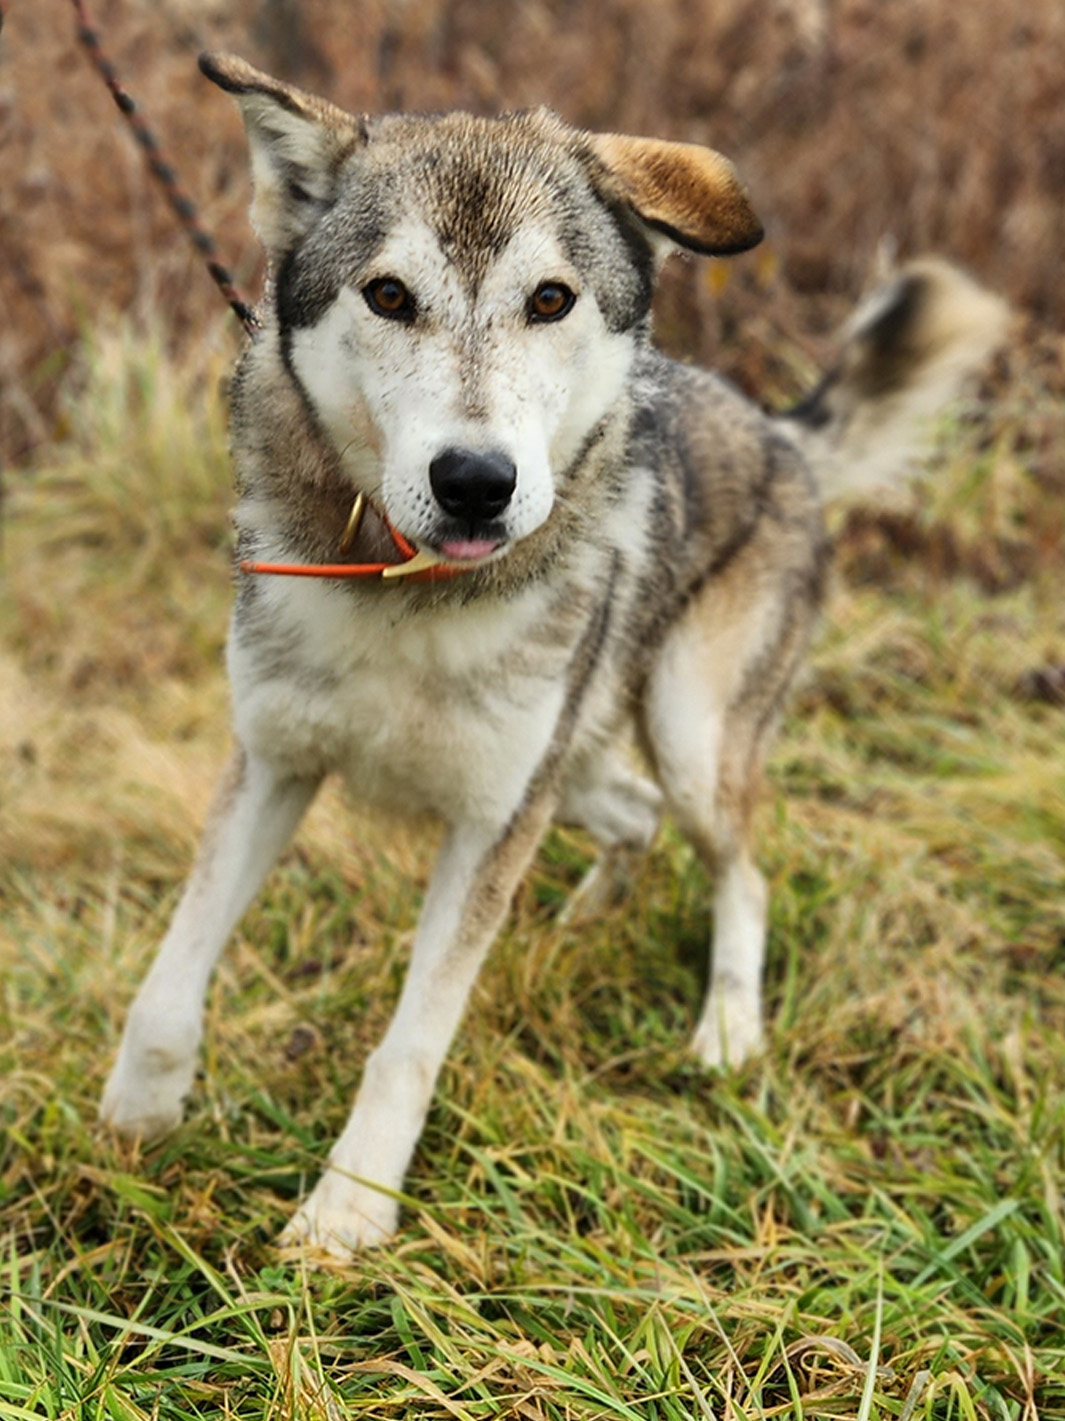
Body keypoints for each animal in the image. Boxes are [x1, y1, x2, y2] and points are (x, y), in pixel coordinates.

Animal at [99, 50, 1006, 1261]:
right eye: (389, 296)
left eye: (549, 299)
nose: (475, 481)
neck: (409, 595)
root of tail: (777, 431)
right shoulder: (274, 763)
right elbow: (169, 976)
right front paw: (135, 1122)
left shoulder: (492, 821)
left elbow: (411, 1040)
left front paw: (347, 1213)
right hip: (568, 772)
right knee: (633, 815)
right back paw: (588, 914)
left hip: (681, 738)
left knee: (742, 867)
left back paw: (726, 1026)